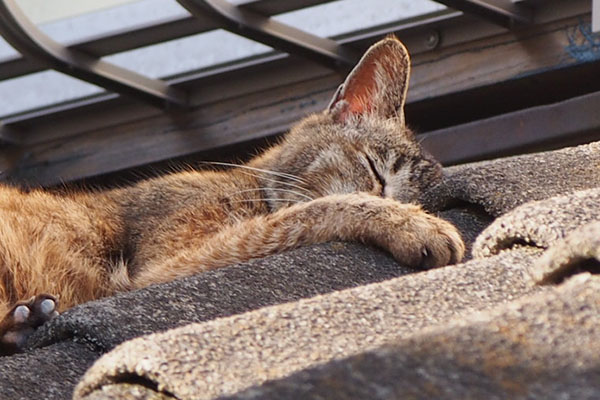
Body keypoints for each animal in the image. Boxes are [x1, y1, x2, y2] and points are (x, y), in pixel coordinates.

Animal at [0, 35, 464, 354]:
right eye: (375, 172)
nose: (400, 204)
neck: (253, 187)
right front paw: (410, 223)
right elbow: (303, 215)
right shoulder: (158, 270)